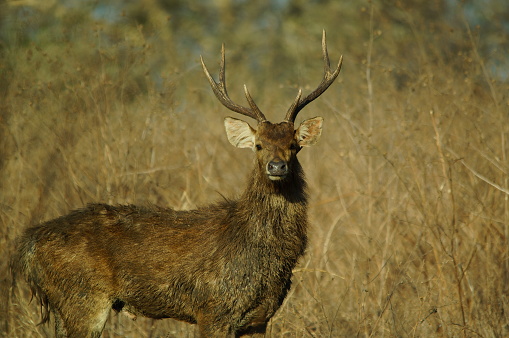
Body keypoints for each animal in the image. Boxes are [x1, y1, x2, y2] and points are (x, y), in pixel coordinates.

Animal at [9, 30, 342, 336]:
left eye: (294, 145)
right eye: (259, 145)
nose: (277, 166)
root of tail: (28, 245)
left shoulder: (258, 319)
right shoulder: (213, 309)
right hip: (82, 298)